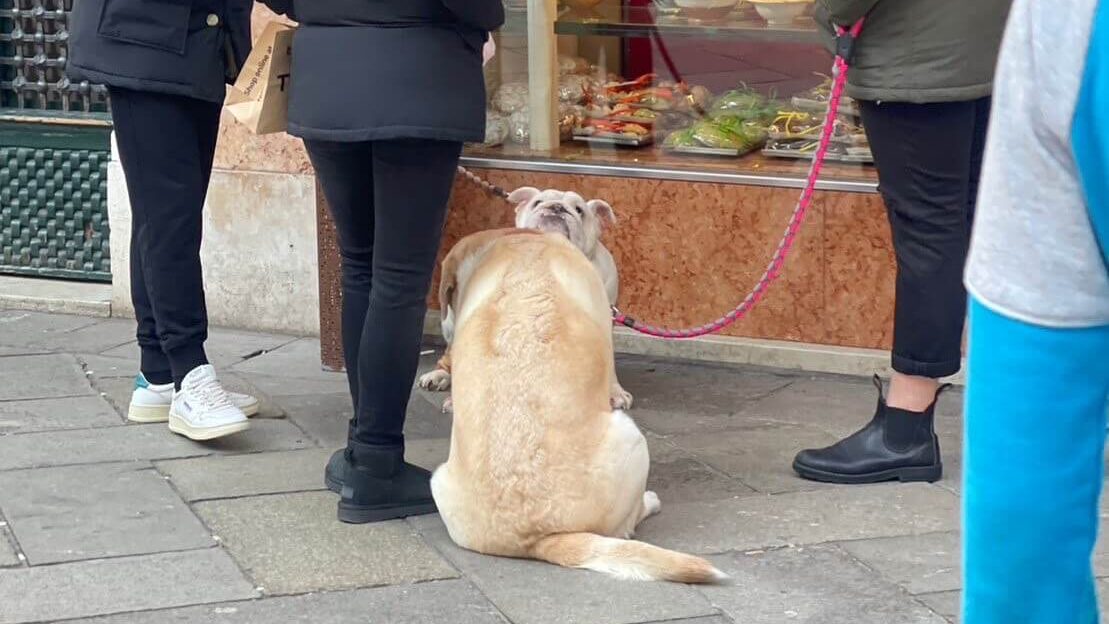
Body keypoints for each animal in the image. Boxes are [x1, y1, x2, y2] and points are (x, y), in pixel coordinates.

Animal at [428, 230, 723, 585]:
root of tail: (539, 540)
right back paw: (649, 502)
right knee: (625, 526)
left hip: (437, 479)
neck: (520, 242)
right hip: (631, 436)